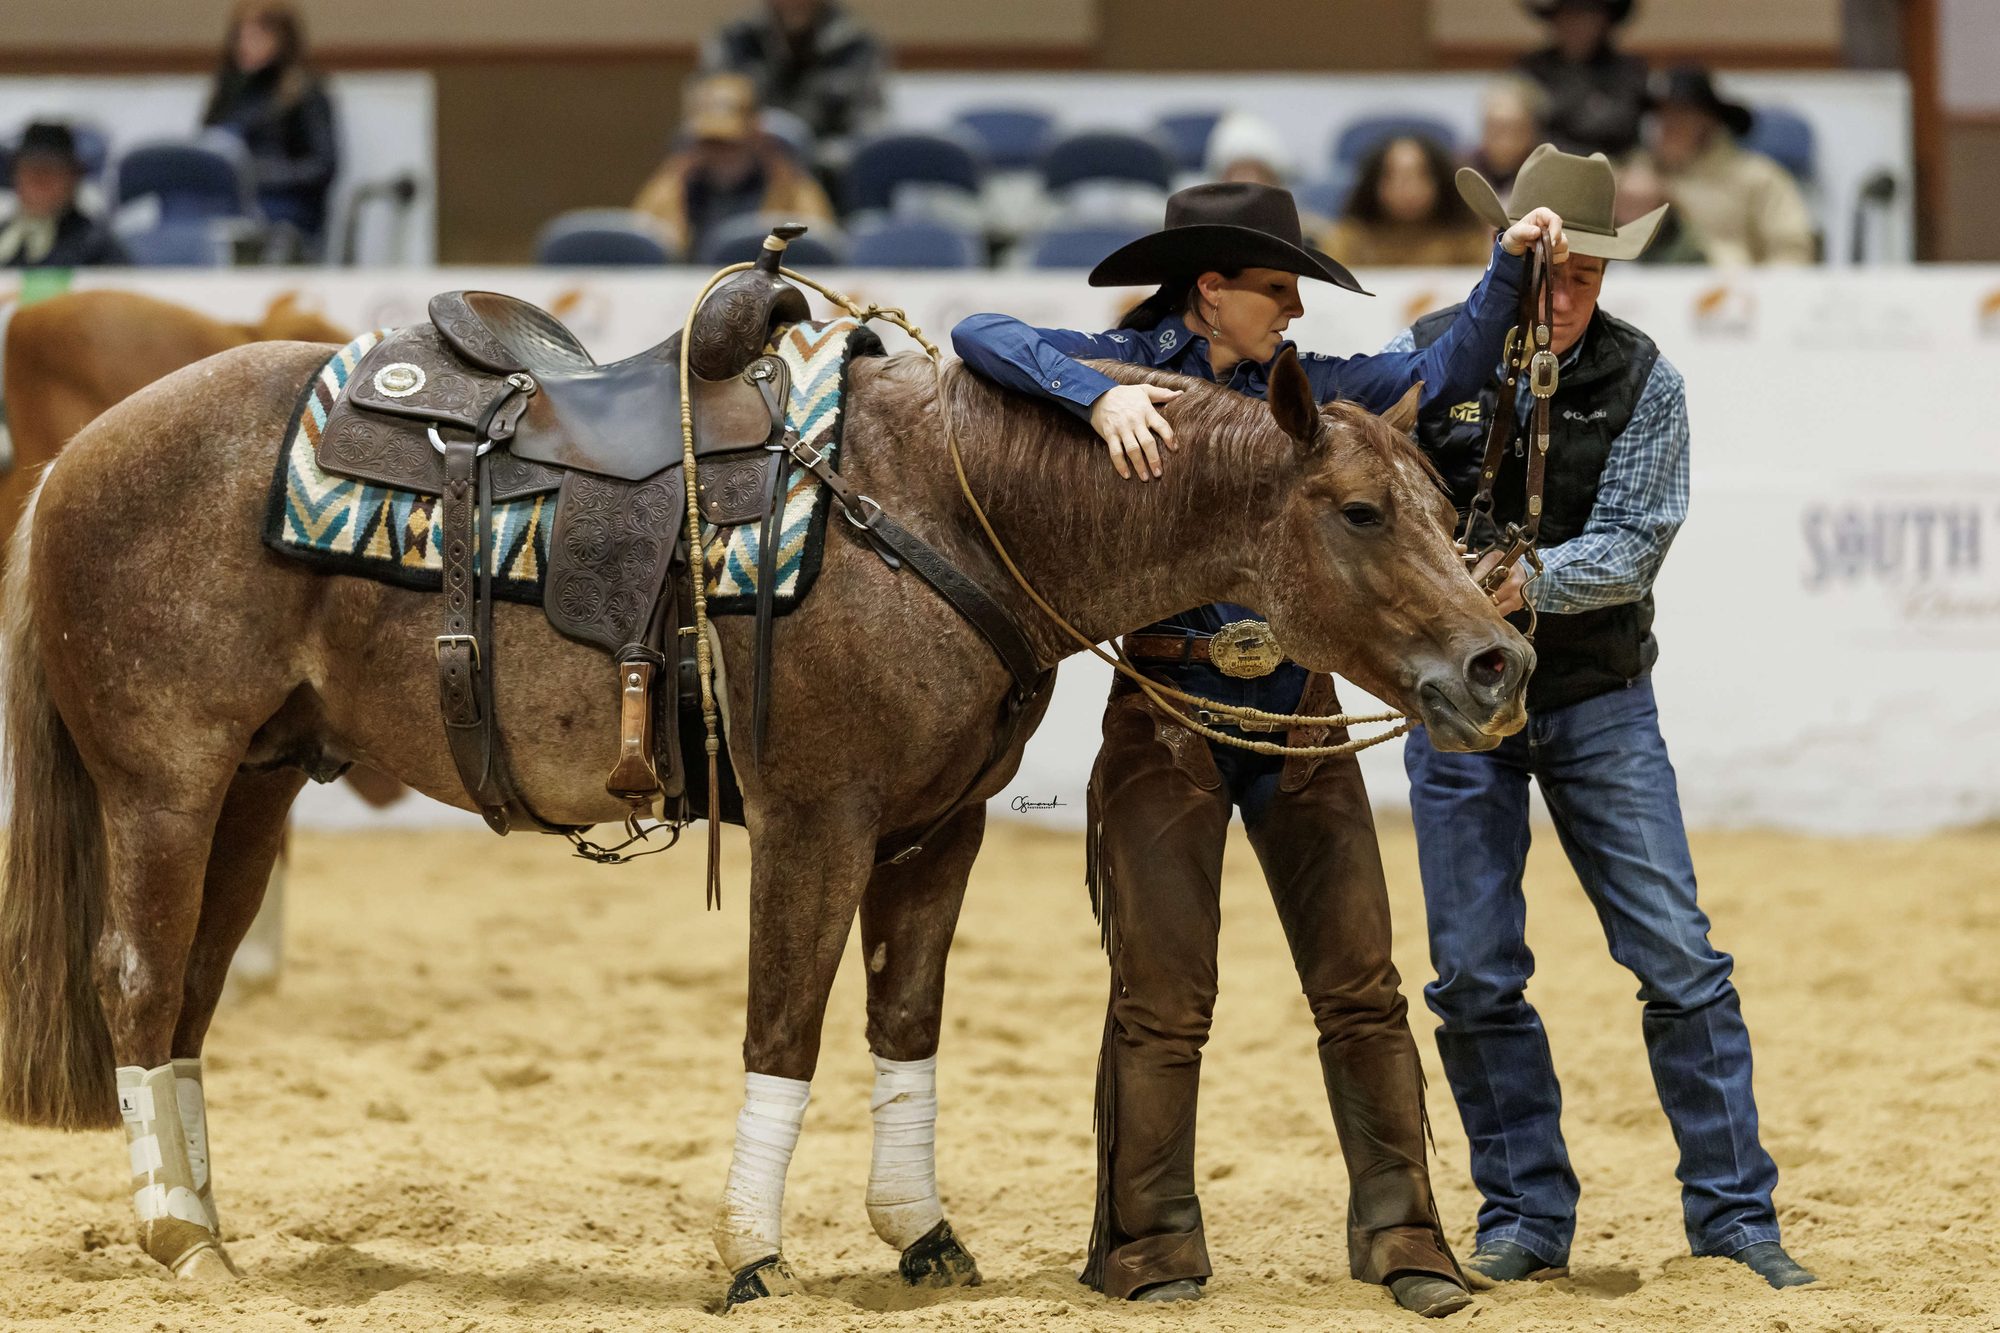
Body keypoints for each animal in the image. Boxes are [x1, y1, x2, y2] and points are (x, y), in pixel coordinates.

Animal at [0, 331, 1531, 1299]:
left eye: (1442, 500)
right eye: (1357, 510)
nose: (1495, 664)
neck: (941, 513)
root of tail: (76, 457)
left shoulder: (937, 830)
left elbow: (904, 1026)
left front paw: (922, 1235)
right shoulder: (815, 820)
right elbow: (783, 1027)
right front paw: (749, 1251)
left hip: (255, 789)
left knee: (190, 996)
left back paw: (208, 1223)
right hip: (167, 782)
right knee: (134, 978)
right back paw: (176, 1236)